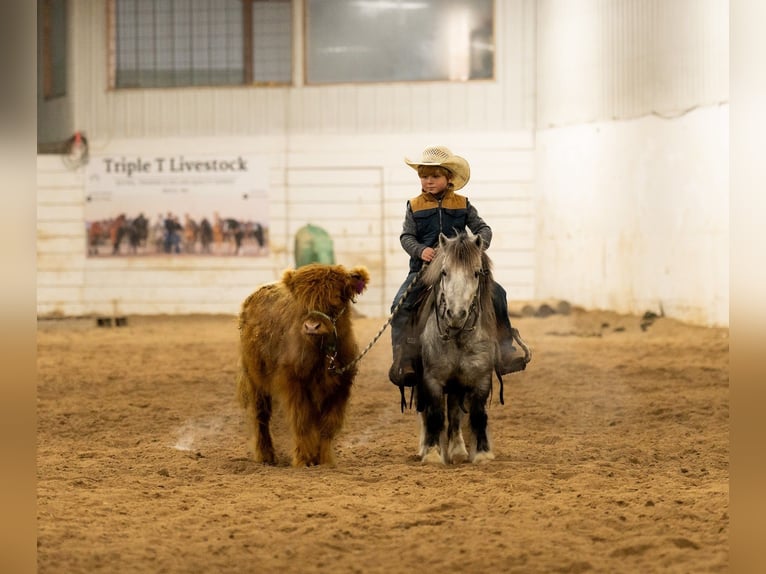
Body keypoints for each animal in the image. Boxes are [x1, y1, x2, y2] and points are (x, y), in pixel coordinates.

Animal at [415, 229, 499, 465]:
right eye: (444, 272)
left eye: (477, 273)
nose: (456, 314)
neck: (457, 336)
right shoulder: (431, 379)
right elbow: (435, 414)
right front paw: (432, 453)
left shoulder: (480, 378)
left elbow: (477, 415)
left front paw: (482, 453)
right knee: (426, 412)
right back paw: (424, 448)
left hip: (457, 385)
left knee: (454, 413)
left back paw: (458, 450)